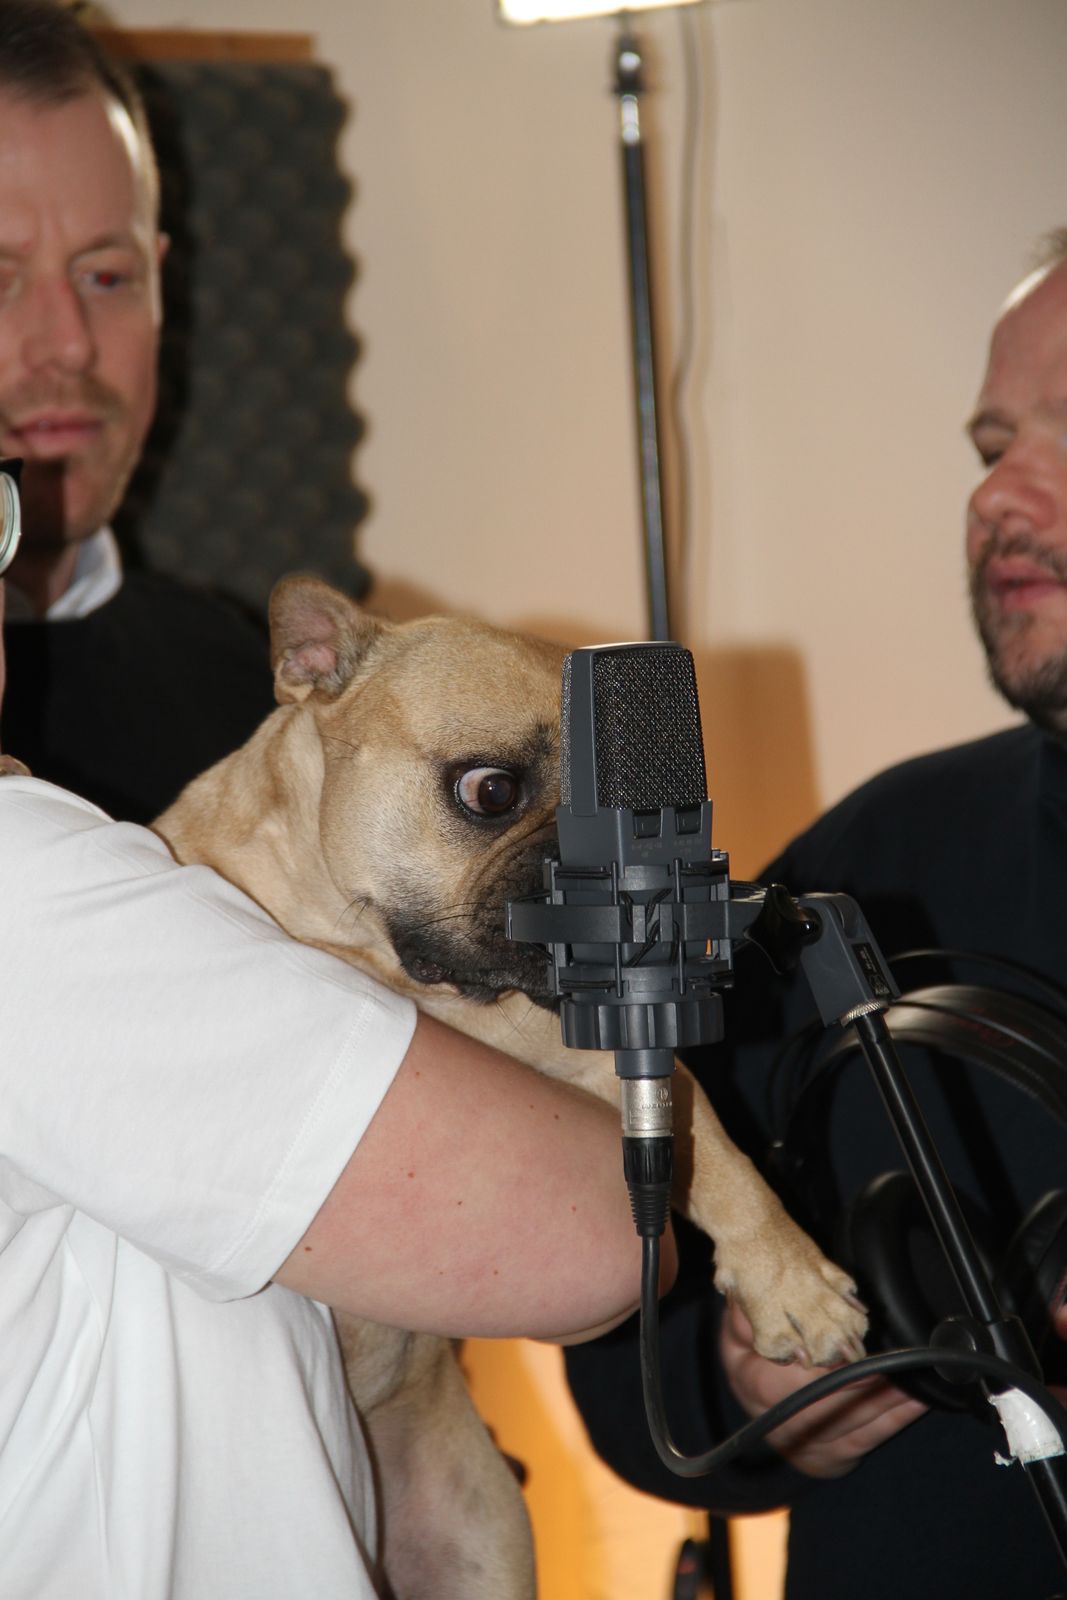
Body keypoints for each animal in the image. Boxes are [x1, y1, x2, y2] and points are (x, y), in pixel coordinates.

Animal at [154, 575, 867, 1600]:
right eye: (490, 791)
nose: (626, 883)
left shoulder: (588, 1056)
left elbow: (717, 1149)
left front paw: (790, 1281)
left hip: (479, 1540)